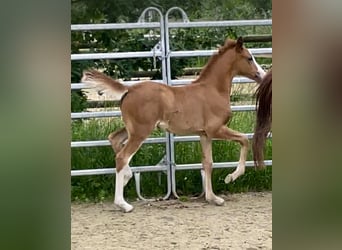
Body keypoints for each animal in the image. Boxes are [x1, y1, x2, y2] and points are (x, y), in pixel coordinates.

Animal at [82, 37, 264, 213]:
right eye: (249, 58)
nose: (261, 75)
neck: (213, 90)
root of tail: (129, 90)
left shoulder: (204, 134)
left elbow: (208, 163)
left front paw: (213, 198)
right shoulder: (216, 129)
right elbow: (244, 139)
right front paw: (231, 177)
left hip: (132, 129)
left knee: (114, 139)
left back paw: (127, 176)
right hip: (141, 131)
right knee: (122, 156)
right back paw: (123, 204)